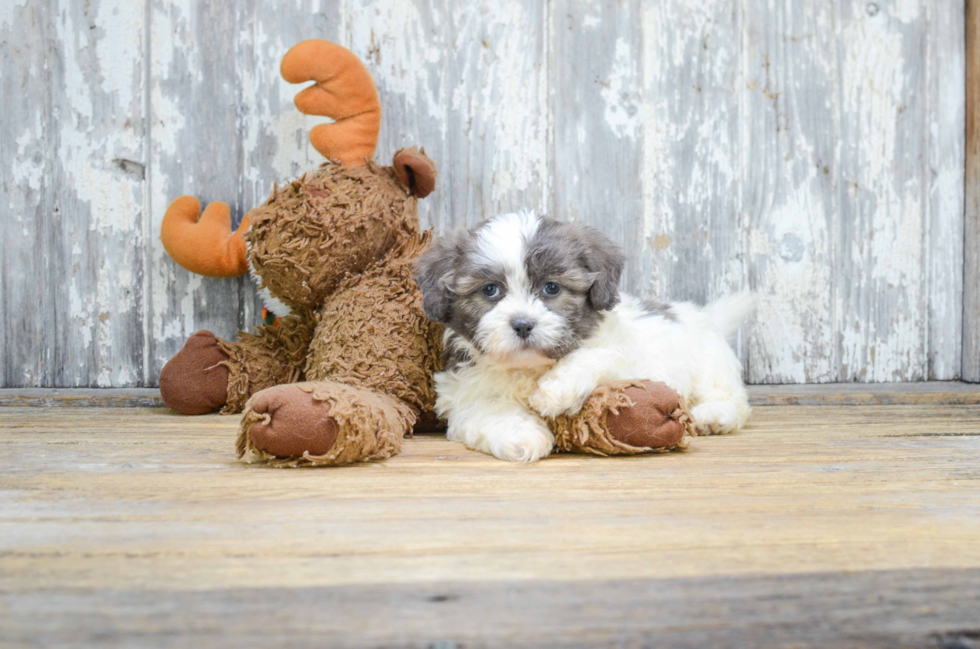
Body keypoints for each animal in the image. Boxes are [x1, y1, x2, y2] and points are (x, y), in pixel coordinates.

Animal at [414, 211, 756, 460]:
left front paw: (556, 390)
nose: (522, 324)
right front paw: (523, 436)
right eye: (490, 290)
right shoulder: (464, 391)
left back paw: (712, 415)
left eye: (551, 288)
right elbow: (491, 409)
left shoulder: (628, 358)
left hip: (709, 366)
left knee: (730, 399)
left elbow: (594, 356)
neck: (531, 368)